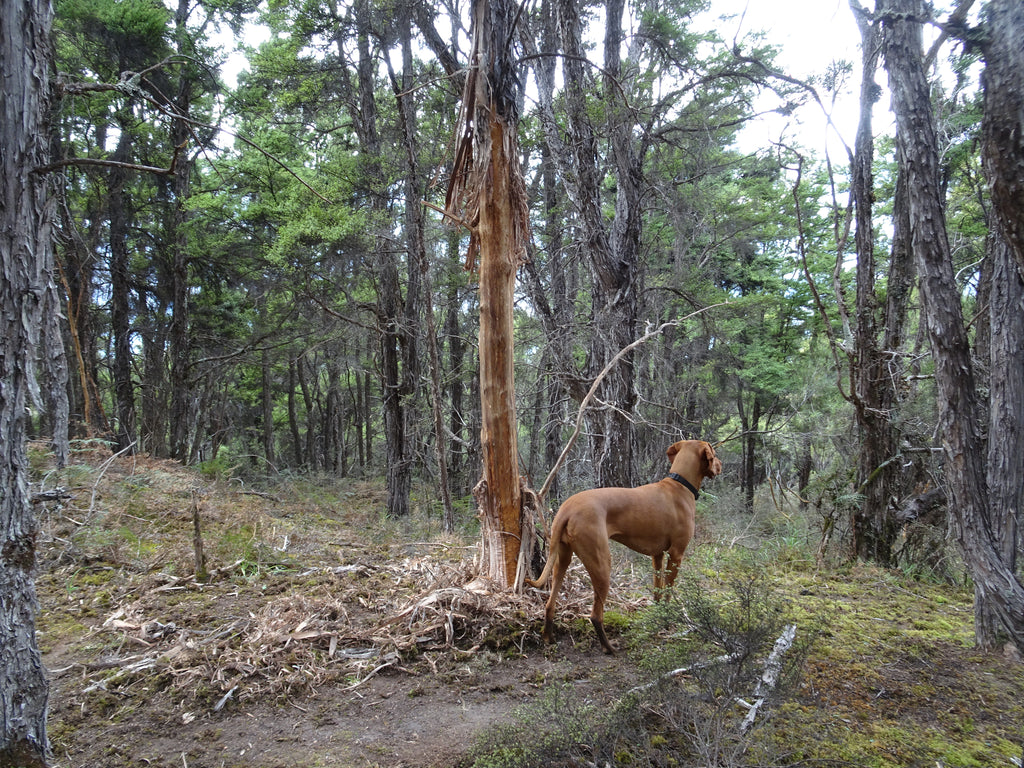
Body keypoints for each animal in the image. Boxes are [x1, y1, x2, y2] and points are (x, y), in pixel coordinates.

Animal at [528, 442, 720, 651]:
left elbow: (657, 589)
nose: (720, 465)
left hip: (562, 559)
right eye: (714, 452)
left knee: (550, 604)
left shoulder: (657, 555)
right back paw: (609, 648)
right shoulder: (676, 554)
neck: (680, 485)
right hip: (602, 563)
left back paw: (548, 636)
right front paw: (668, 619)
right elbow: (668, 591)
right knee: (595, 616)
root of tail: (567, 509)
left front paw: (658, 614)